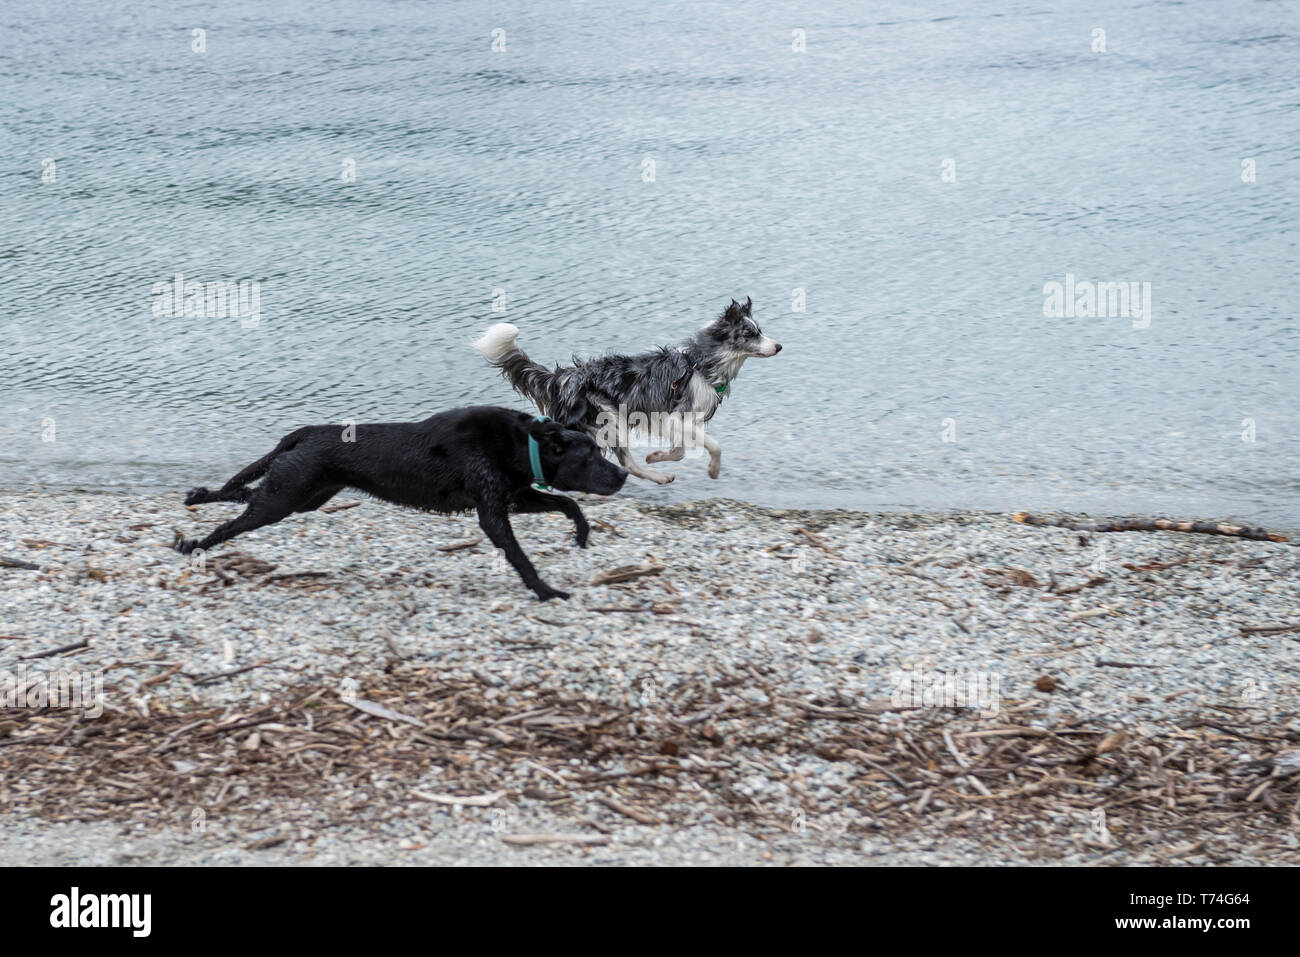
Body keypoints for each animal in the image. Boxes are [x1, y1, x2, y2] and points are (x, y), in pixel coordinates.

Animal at [172, 403, 629, 598]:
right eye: (589, 455)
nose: (623, 474)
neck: (522, 443)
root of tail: (306, 432)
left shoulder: (514, 497)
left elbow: (570, 505)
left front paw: (582, 535)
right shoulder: (493, 513)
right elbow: (520, 557)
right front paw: (546, 591)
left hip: (304, 496)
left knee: (245, 493)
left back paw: (203, 497)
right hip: (284, 500)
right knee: (232, 524)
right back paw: (194, 544)